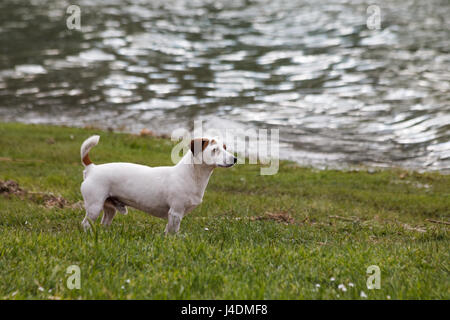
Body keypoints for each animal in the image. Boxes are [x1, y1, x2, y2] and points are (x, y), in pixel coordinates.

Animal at [79, 134, 237, 234]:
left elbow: (169, 230)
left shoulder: (174, 215)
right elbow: (172, 232)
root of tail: (92, 168)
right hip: (94, 206)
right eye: (215, 150)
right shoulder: (175, 212)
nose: (235, 159)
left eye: (225, 147)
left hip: (110, 208)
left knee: (104, 222)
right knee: (85, 224)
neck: (192, 175)